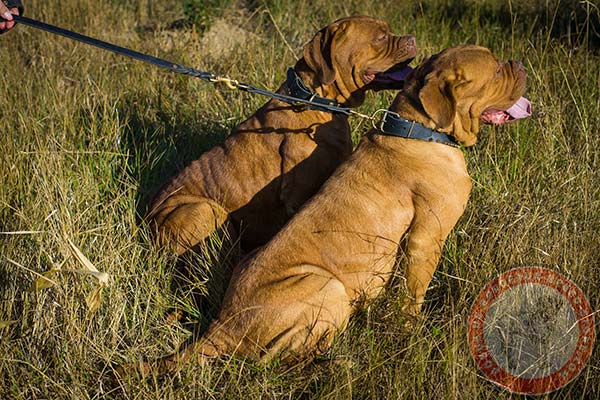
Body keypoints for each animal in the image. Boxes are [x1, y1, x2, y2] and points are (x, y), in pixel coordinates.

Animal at [123, 45, 528, 376]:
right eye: (496, 71)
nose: (519, 63)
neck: (417, 127)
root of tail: (223, 324)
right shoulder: (426, 240)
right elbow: (413, 296)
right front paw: (411, 331)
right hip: (327, 286)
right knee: (280, 361)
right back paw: (337, 363)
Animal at [146, 16, 418, 253]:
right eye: (381, 37)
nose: (413, 38)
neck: (315, 99)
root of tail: (146, 221)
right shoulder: (299, 195)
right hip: (203, 210)